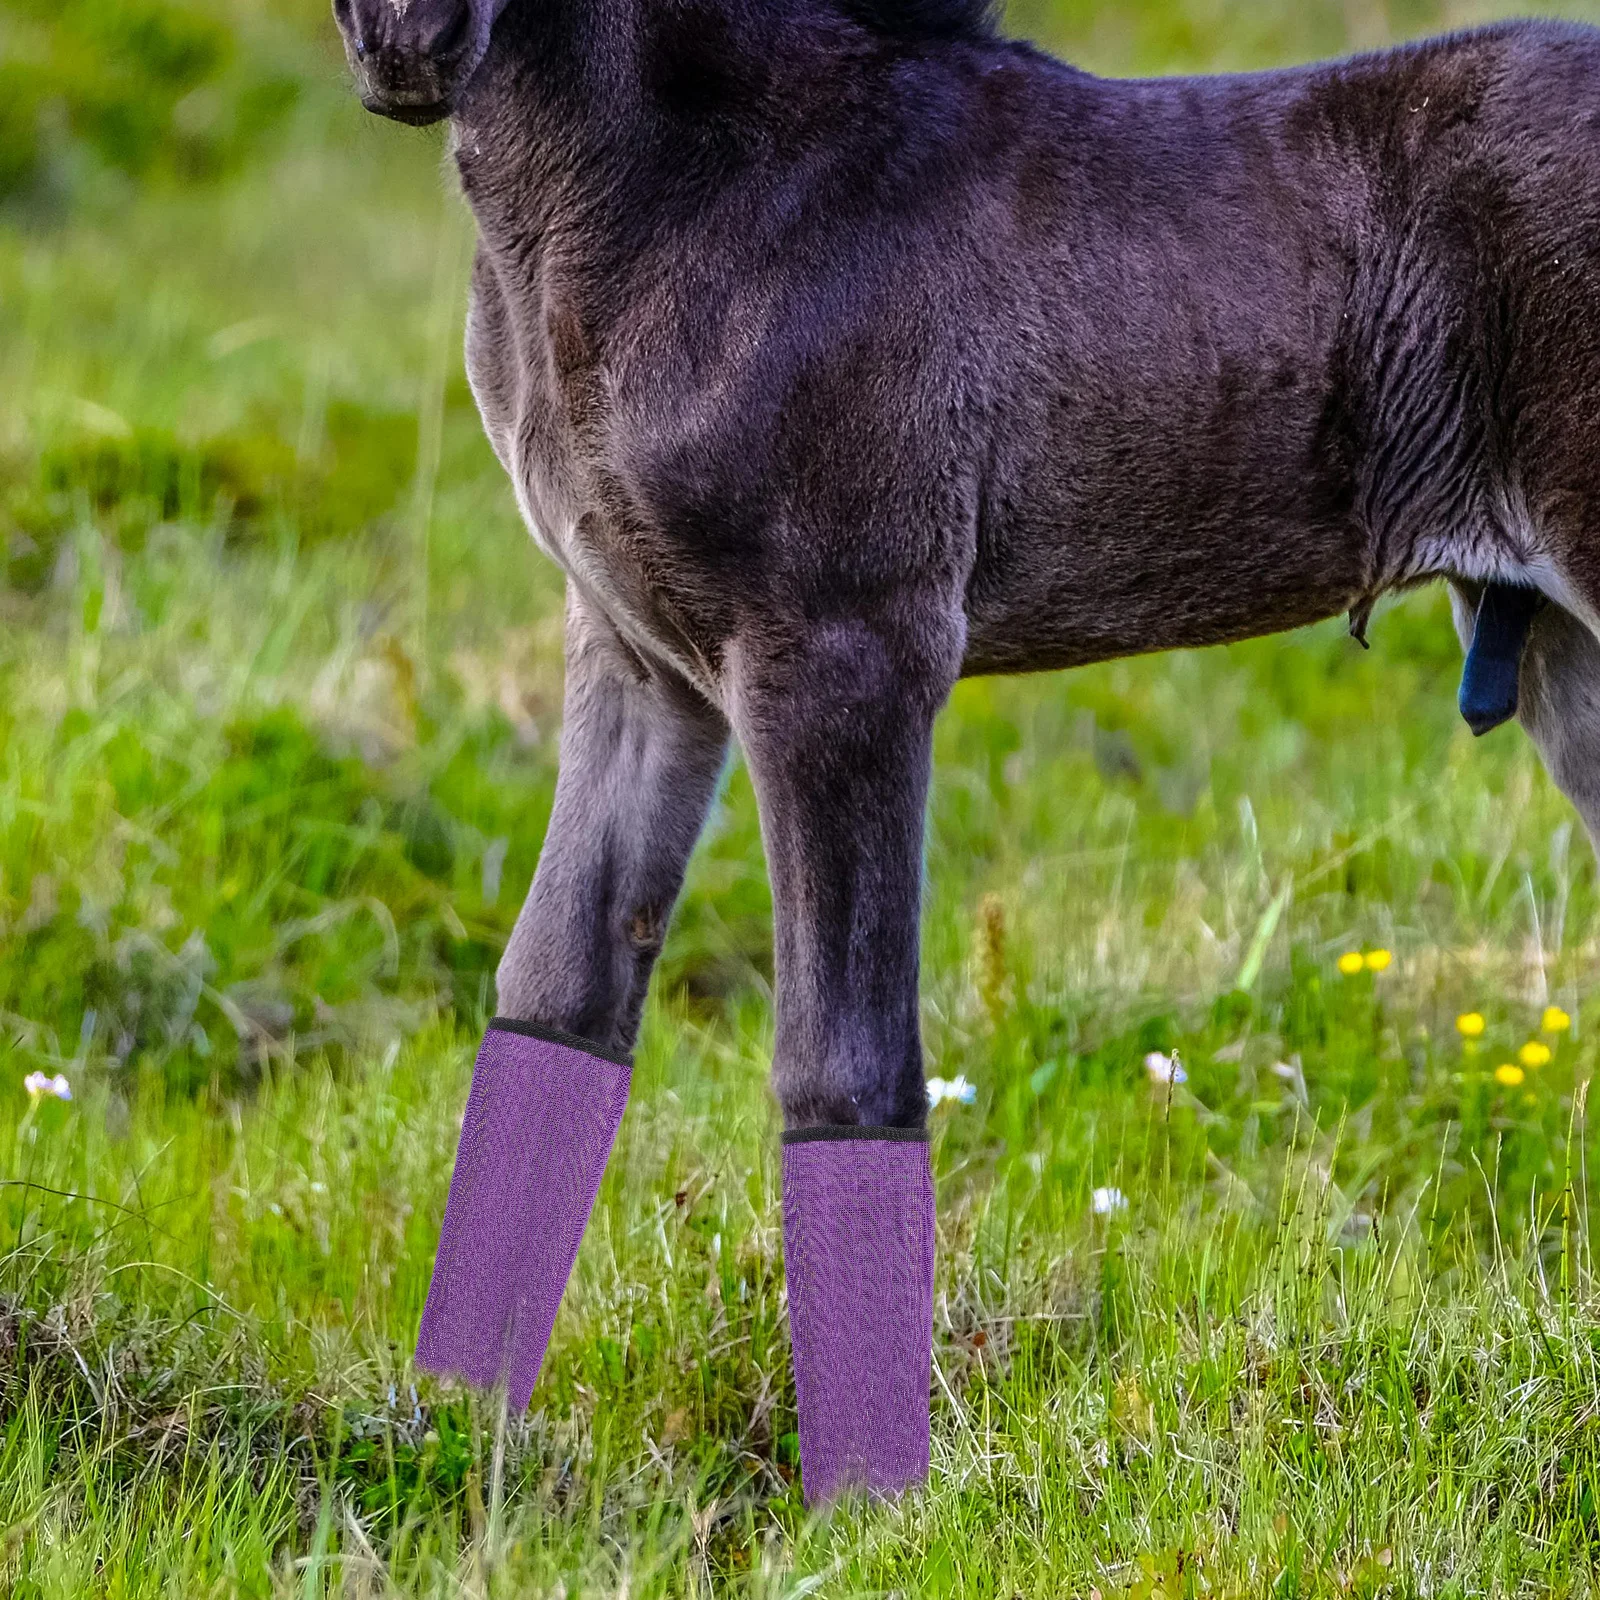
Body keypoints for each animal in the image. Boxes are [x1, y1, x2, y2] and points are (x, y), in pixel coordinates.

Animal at [332, 0, 1600, 1500]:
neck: (683, 185)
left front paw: (872, 1510)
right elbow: (557, 992)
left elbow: (844, 1064)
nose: (404, 49)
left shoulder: (849, 649)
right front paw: (453, 1446)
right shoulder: (639, 662)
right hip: (1569, 664)